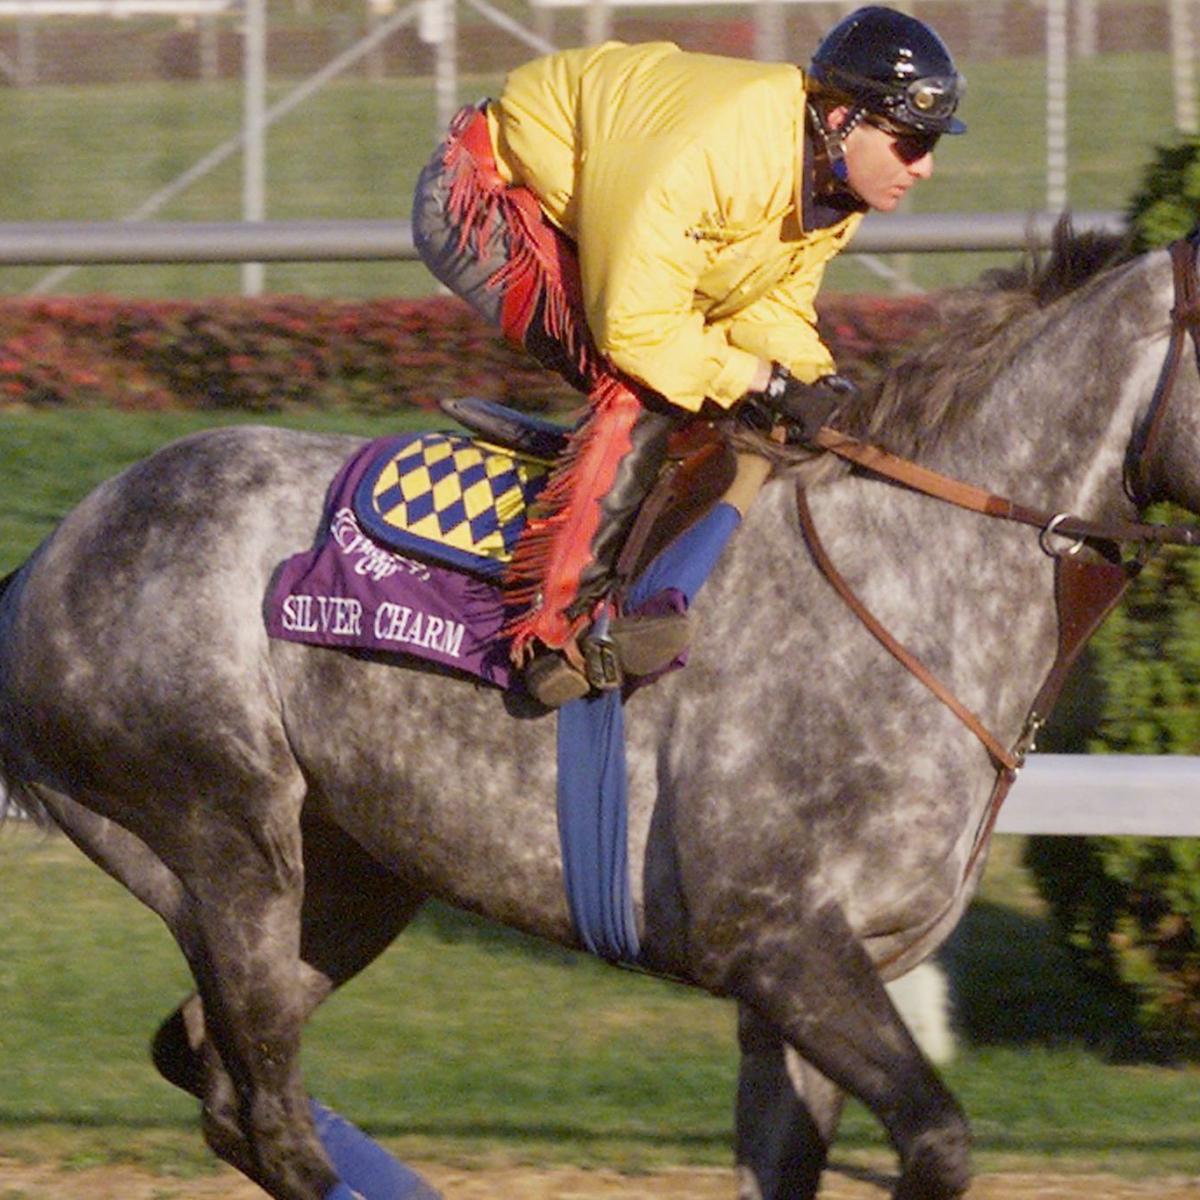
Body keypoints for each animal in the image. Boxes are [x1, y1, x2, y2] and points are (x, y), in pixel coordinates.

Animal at [0, 226, 1195, 1200]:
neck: (909, 581)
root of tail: (50, 557)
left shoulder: (829, 975)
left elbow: (795, 1161)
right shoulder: (774, 942)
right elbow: (939, 1140)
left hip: (349, 877)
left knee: (216, 1072)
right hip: (225, 844)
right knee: (265, 1110)